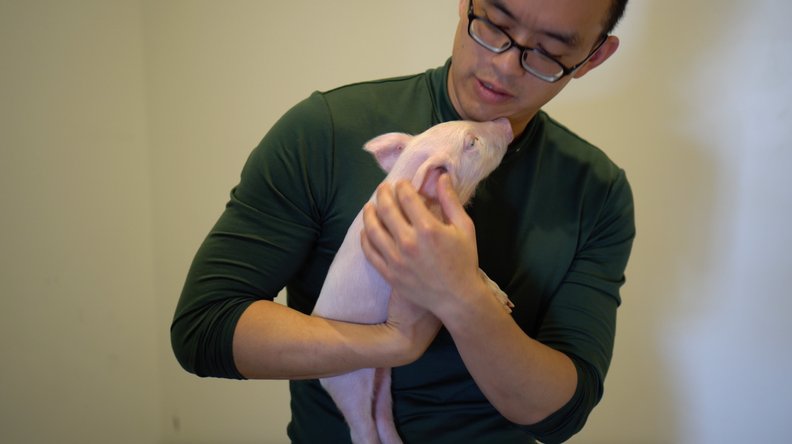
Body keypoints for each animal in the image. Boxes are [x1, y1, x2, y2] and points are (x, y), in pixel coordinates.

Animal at [311, 118, 515, 444]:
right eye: (471, 143)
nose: (505, 121)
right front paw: (506, 306)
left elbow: (477, 269)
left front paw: (506, 302)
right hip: (347, 381)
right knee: (361, 427)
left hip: (384, 372)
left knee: (382, 414)